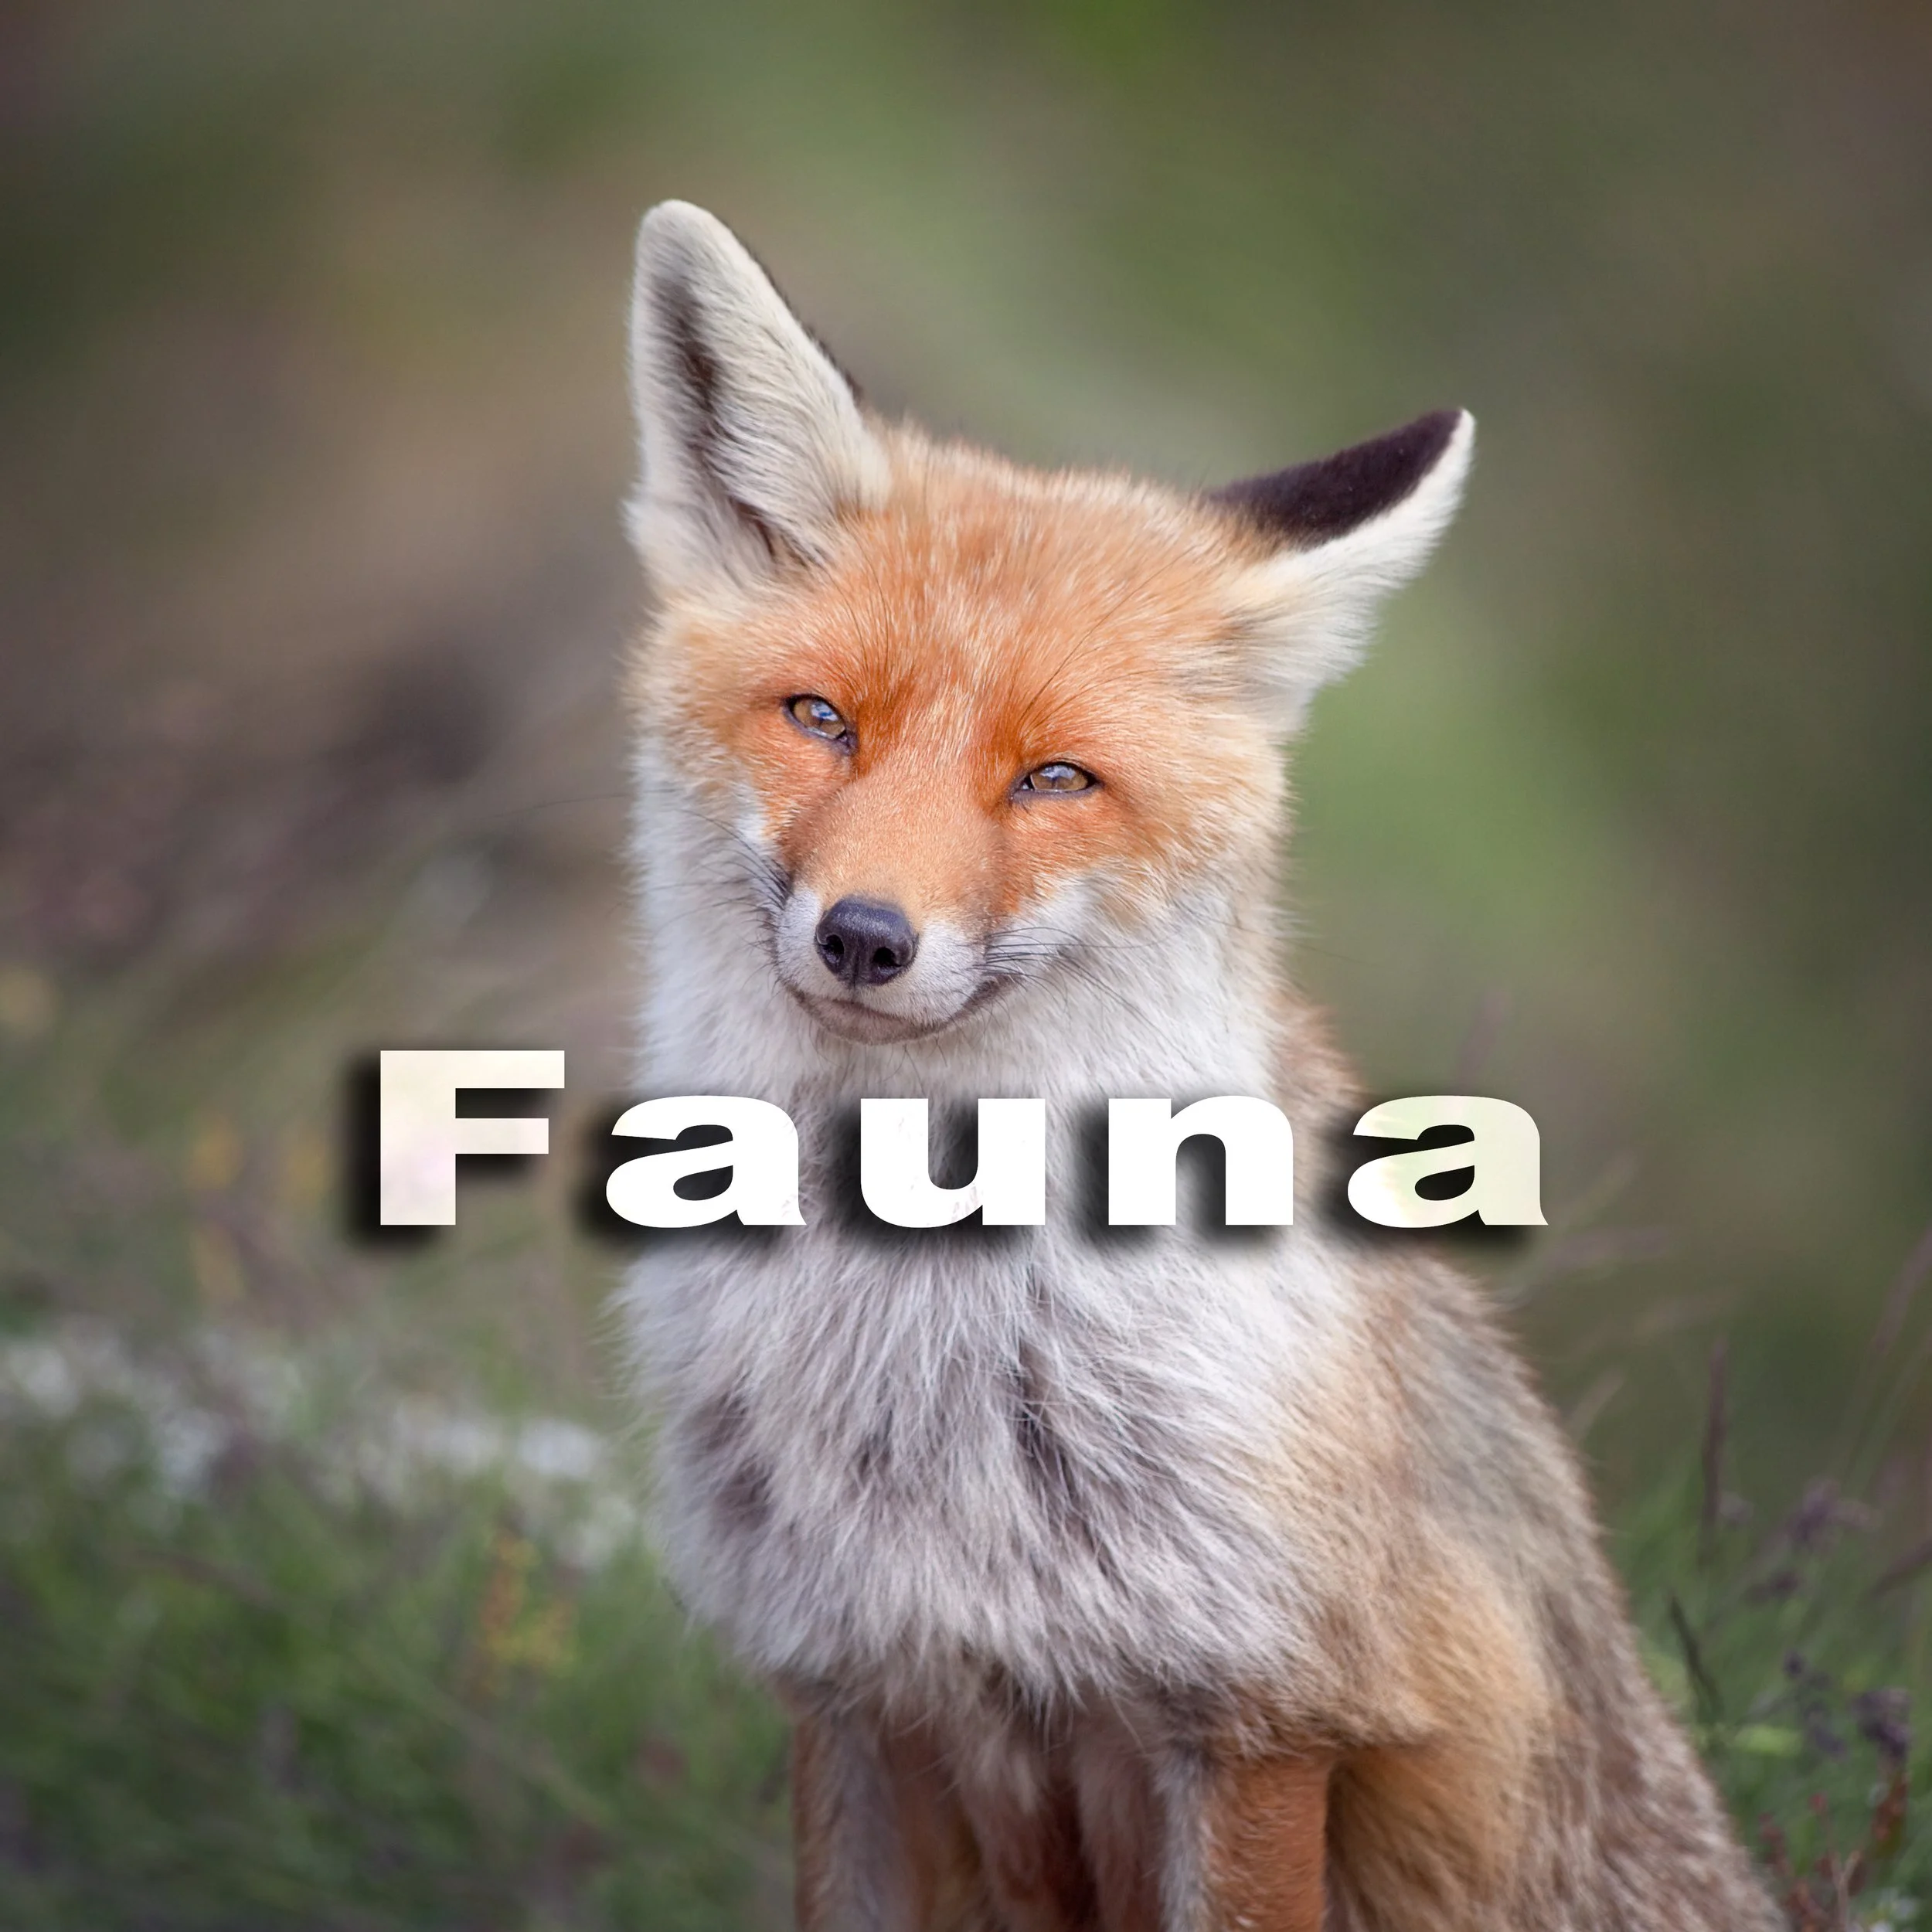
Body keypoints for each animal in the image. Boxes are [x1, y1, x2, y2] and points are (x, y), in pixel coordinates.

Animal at [616, 200, 1781, 1931]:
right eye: (820, 718)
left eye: (1053, 780)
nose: (865, 939)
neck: (925, 1366)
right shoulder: (852, 1693)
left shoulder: (1257, 1722)